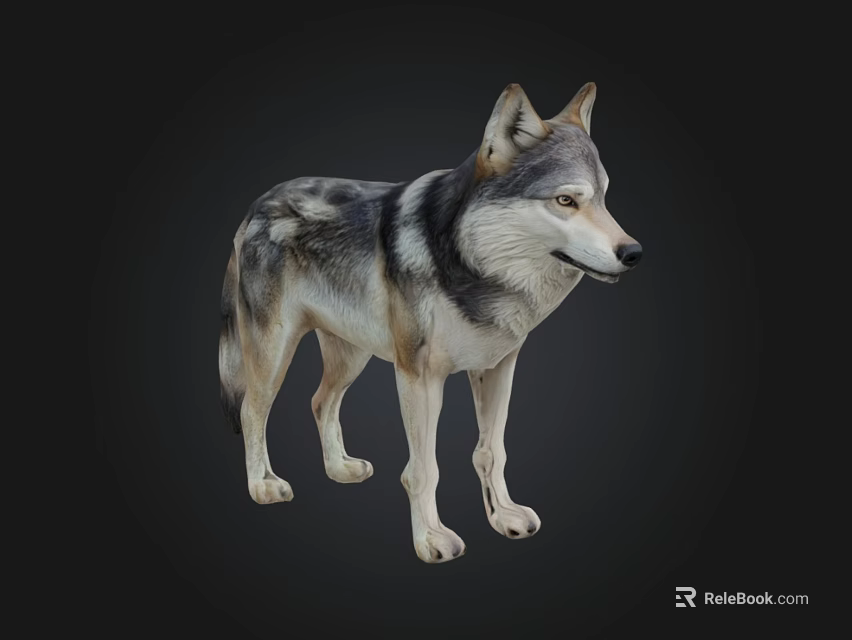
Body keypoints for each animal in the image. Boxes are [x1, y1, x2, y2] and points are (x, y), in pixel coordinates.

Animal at [219, 82, 642, 563]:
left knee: (319, 401)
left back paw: (340, 468)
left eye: (603, 198)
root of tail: (256, 205)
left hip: (352, 357)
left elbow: (492, 451)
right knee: (252, 410)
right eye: (566, 200)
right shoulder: (418, 377)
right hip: (275, 354)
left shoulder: (499, 368)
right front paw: (431, 540)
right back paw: (263, 485)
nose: (633, 252)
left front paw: (503, 517)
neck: (475, 267)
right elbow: (423, 470)